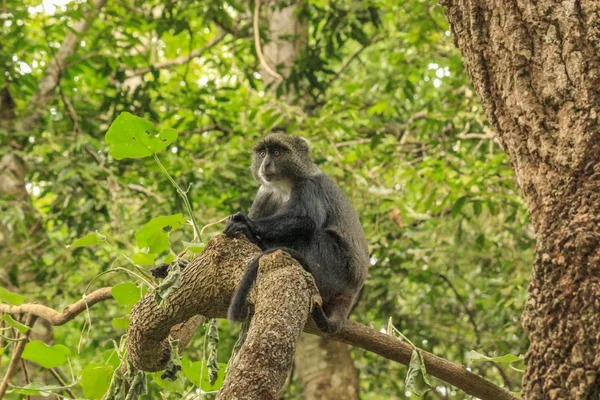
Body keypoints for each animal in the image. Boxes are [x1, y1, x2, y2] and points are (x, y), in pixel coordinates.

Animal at [223, 133, 368, 332]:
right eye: (262, 153)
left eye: (277, 153)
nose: (265, 164)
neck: (284, 185)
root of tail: (351, 291)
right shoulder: (264, 193)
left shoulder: (309, 187)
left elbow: (306, 222)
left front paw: (248, 225)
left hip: (337, 268)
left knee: (314, 235)